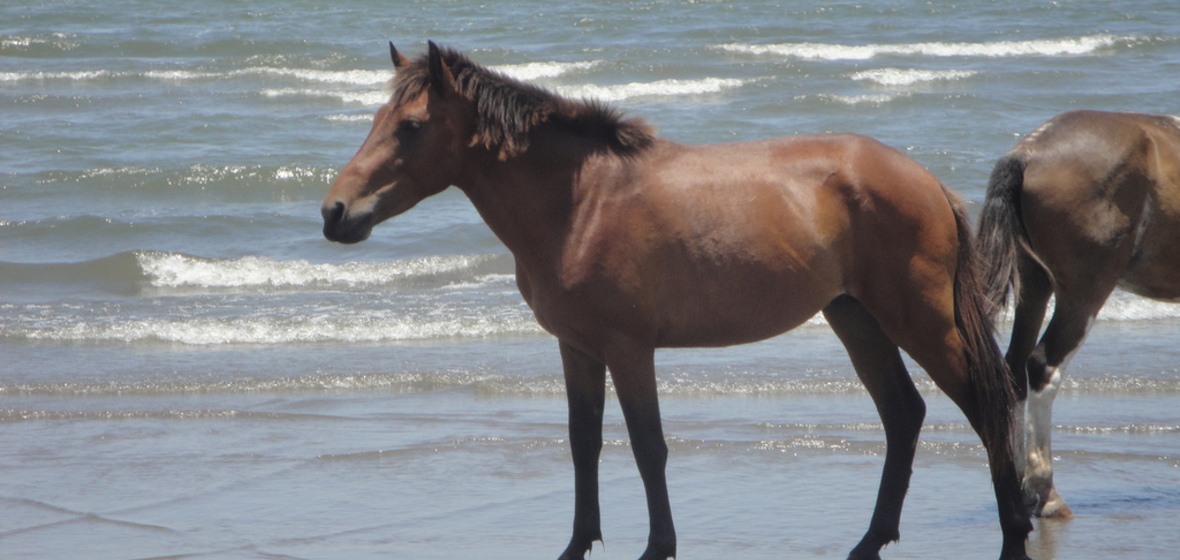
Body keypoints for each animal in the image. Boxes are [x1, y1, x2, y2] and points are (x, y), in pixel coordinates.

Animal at [323, 42, 1033, 560]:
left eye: (411, 126)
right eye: (377, 121)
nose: (335, 213)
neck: (580, 204)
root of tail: (927, 180)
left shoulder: (629, 348)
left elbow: (648, 446)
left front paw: (657, 548)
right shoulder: (577, 348)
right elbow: (584, 442)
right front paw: (577, 545)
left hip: (918, 319)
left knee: (988, 404)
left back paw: (1014, 532)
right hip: (854, 316)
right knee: (904, 414)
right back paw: (868, 543)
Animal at [977, 109, 1180, 521]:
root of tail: (1029, 152)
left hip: (1034, 286)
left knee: (1014, 369)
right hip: (1084, 292)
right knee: (1042, 365)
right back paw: (1046, 492)